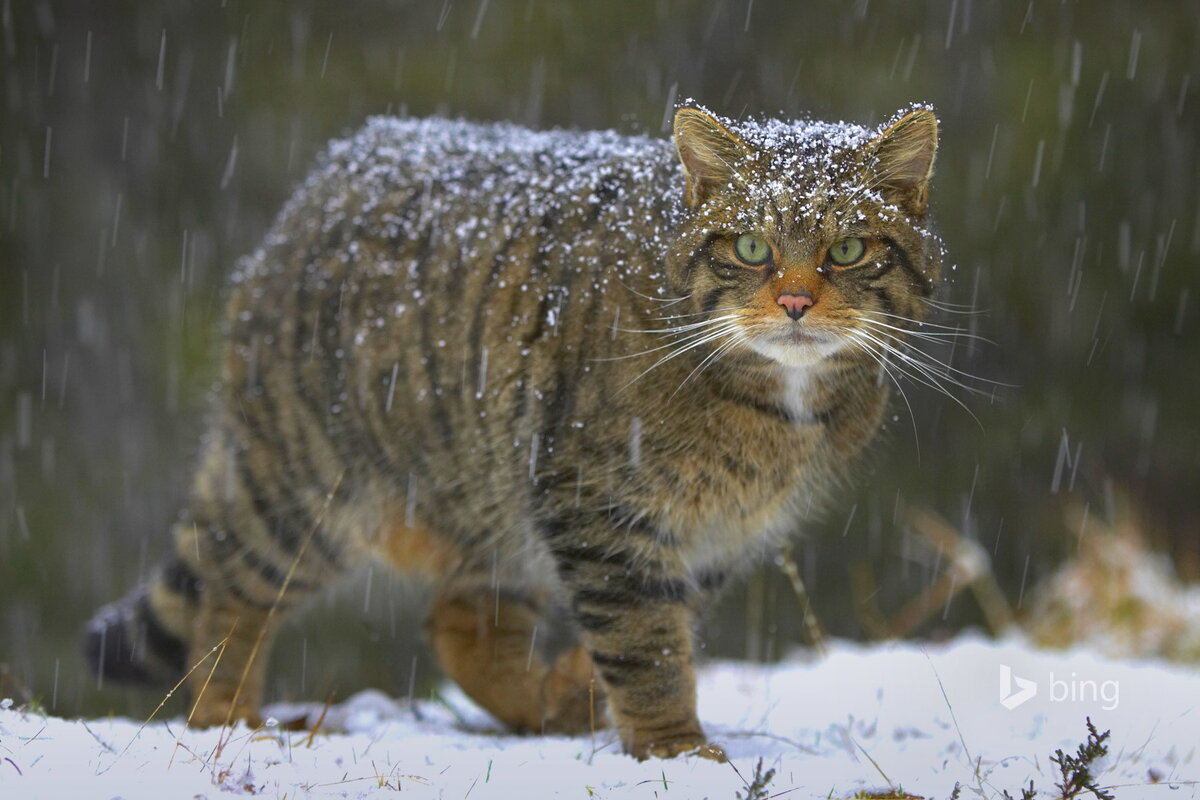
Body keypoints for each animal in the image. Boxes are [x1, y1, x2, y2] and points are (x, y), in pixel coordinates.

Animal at [88, 101, 940, 762]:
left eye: (848, 249)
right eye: (752, 247)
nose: (795, 303)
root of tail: (329, 172)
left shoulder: (716, 534)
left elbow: (655, 629)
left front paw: (587, 693)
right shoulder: (601, 501)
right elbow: (646, 643)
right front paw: (674, 748)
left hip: (495, 498)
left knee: (461, 625)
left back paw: (545, 702)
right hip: (304, 487)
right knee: (227, 596)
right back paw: (229, 718)